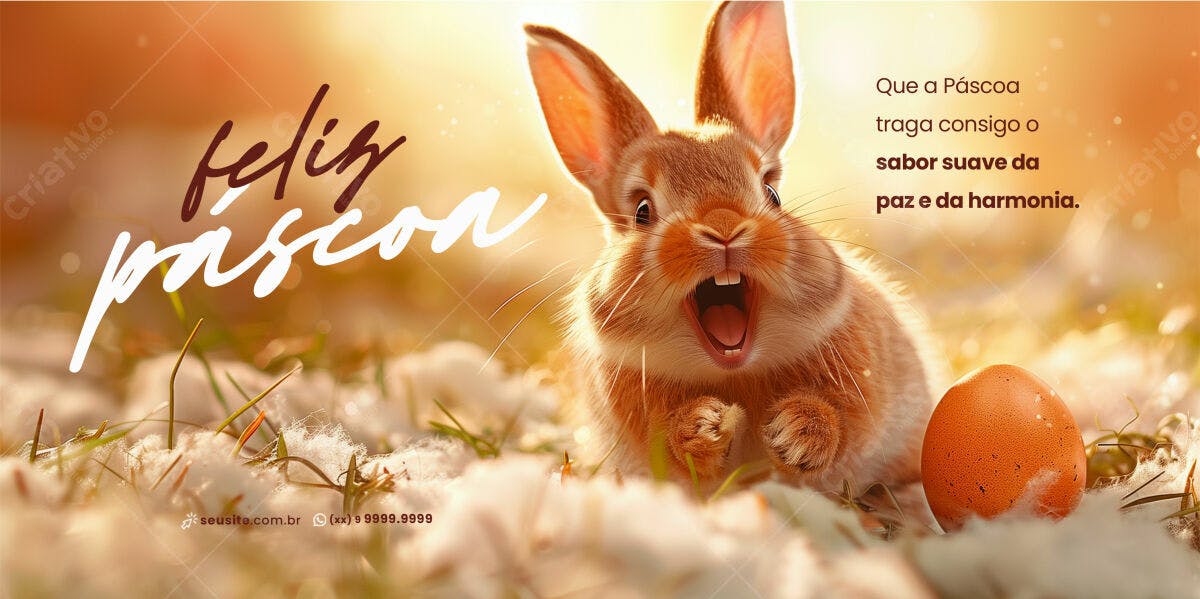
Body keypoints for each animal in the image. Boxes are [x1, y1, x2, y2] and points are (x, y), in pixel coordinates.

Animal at [524, 1, 937, 491]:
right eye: (642, 211)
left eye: (771, 193)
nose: (723, 228)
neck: (737, 369)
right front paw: (707, 425)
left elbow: (842, 423)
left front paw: (794, 434)